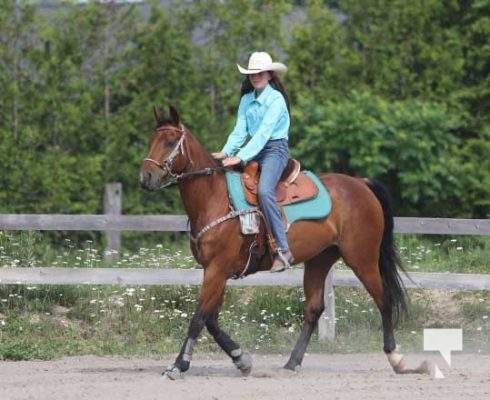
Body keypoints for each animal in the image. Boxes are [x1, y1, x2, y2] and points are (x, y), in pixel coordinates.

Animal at [140, 106, 426, 378]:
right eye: (151, 140)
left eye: (170, 141)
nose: (146, 178)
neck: (216, 198)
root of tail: (361, 184)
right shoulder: (215, 271)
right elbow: (211, 319)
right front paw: (241, 360)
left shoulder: (217, 269)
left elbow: (198, 318)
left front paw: (178, 365)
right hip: (320, 260)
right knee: (314, 309)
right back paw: (292, 363)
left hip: (362, 259)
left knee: (383, 299)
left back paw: (396, 358)